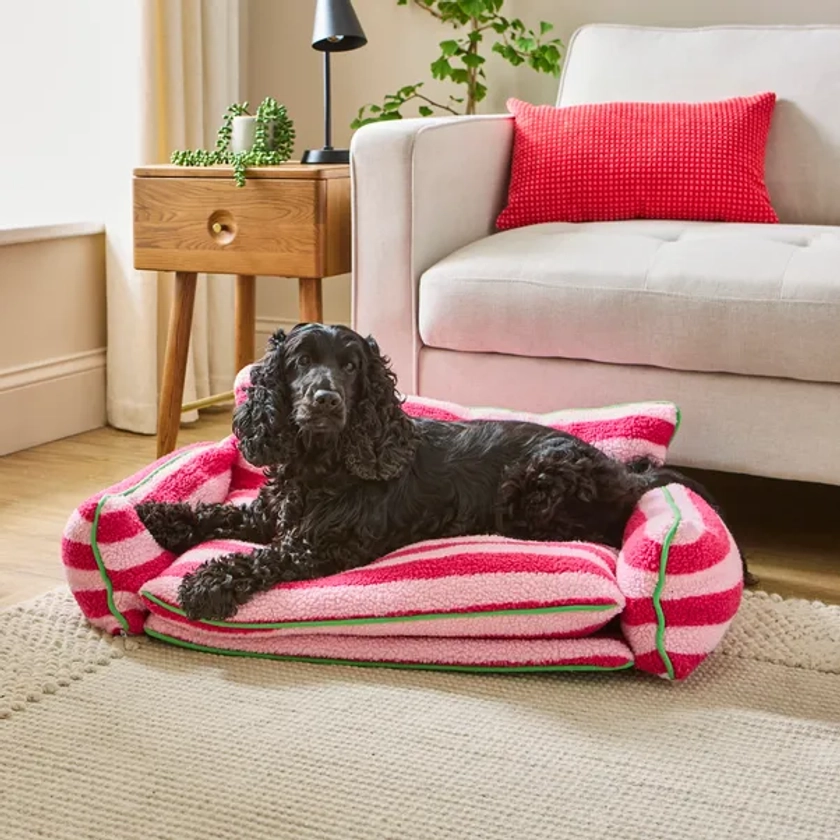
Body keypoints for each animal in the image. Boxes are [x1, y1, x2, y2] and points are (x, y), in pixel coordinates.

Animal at [138, 324, 756, 624]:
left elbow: (263, 557)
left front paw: (207, 582)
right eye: (300, 362)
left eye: (351, 366)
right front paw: (155, 513)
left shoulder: (325, 545)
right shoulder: (273, 513)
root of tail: (626, 475)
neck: (320, 463)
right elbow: (218, 512)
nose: (326, 400)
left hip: (537, 485)